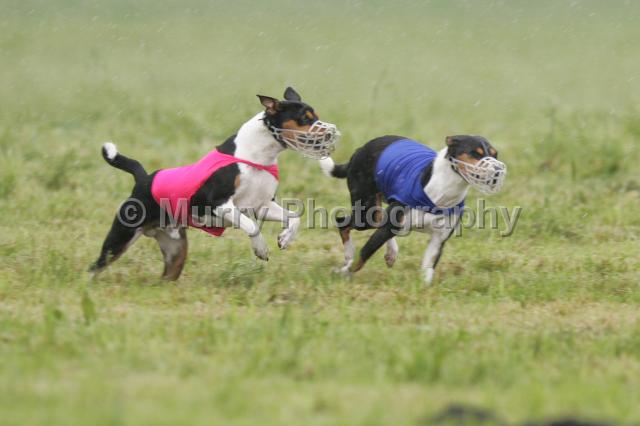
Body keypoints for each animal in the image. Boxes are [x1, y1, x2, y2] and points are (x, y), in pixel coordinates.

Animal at [89, 87, 340, 280]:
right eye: (305, 118)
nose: (329, 135)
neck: (256, 157)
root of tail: (144, 178)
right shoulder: (218, 203)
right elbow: (251, 225)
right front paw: (260, 248)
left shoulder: (261, 205)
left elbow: (294, 218)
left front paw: (285, 238)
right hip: (120, 236)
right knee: (95, 266)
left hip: (175, 249)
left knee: (167, 275)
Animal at [319, 135, 506, 284]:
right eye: (476, 153)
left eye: (495, 154)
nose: (498, 171)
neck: (442, 193)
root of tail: (360, 150)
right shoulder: (391, 224)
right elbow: (364, 254)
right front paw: (344, 272)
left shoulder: (438, 239)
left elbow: (428, 270)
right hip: (365, 213)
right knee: (342, 222)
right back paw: (349, 256)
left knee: (376, 223)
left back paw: (391, 252)